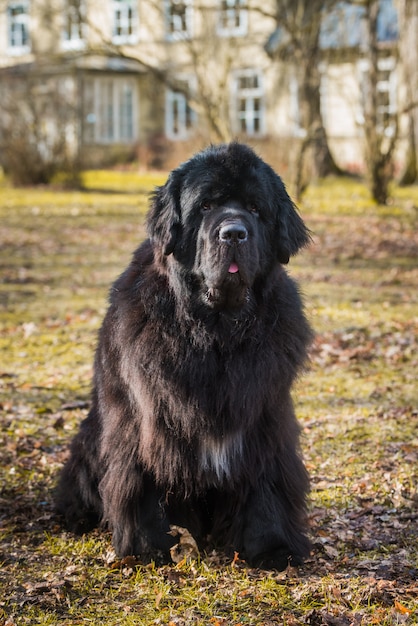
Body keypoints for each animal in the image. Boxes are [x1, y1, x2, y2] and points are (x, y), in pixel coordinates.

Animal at [58, 143, 314, 572]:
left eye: (255, 208)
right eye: (206, 206)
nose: (234, 232)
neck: (215, 333)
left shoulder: (263, 418)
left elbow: (266, 479)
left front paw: (271, 546)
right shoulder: (144, 418)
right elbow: (141, 478)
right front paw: (147, 548)